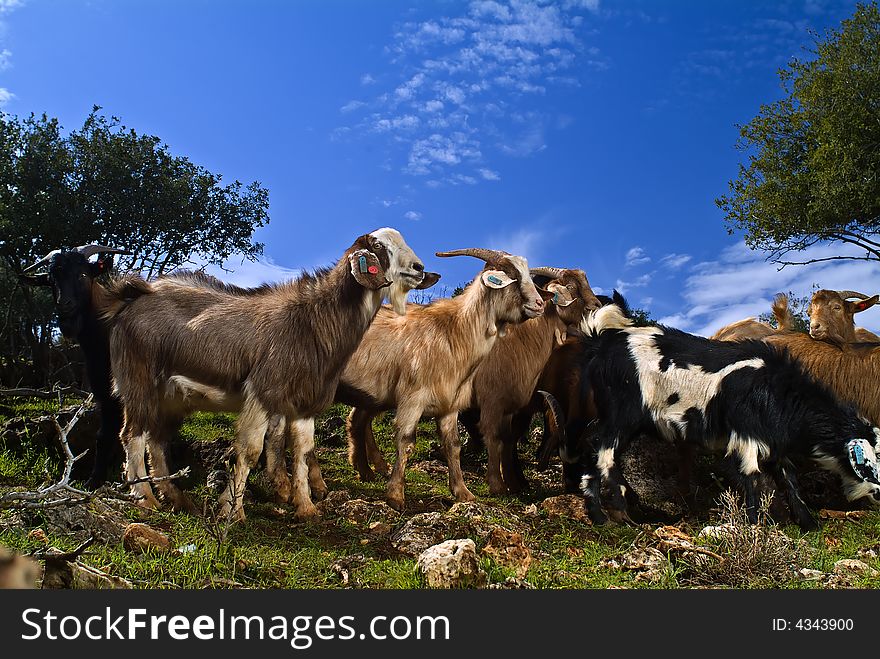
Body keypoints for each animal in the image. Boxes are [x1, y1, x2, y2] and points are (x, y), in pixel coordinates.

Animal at [19, 245, 130, 488]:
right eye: (51, 280)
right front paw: (95, 480)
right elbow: (104, 435)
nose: (64, 306)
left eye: (82, 275)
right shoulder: (103, 391)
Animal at [95, 227, 434, 520]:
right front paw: (233, 510)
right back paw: (145, 499)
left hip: (170, 397)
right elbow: (250, 451)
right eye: (379, 246)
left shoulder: (304, 402)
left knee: (156, 439)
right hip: (137, 380)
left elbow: (302, 451)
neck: (312, 320)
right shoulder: (263, 391)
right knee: (133, 436)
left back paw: (175, 497)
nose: (418, 268)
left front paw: (306, 507)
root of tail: (132, 298)